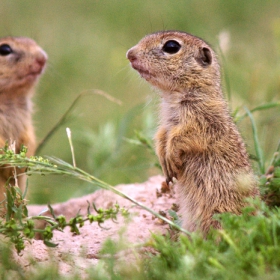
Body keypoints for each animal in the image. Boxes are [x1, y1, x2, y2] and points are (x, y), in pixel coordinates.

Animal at [0, 36, 47, 203]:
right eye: (4, 49)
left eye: (33, 41)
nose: (42, 58)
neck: (10, 97)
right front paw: (9, 161)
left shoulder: (26, 120)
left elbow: (29, 136)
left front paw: (24, 160)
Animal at [127, 30, 258, 234]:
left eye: (171, 46)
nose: (130, 54)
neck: (174, 96)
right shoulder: (166, 123)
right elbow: (162, 136)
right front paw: (163, 159)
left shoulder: (204, 121)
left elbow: (184, 136)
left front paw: (171, 157)